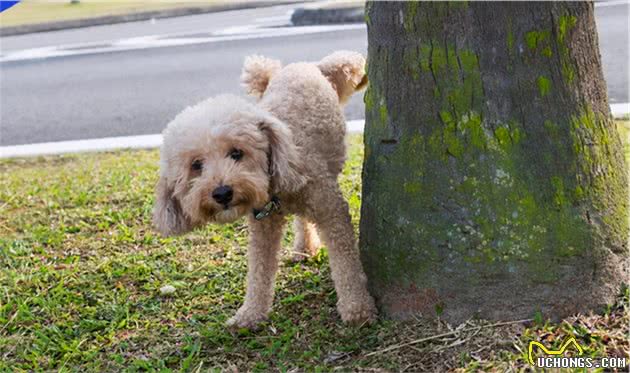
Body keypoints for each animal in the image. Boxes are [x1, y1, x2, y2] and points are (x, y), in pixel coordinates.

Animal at [155, 50, 378, 326]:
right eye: (196, 165)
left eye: (236, 153)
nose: (222, 193)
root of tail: (305, 65)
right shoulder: (263, 225)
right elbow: (259, 270)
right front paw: (250, 314)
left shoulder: (331, 209)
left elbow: (346, 262)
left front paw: (357, 308)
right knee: (303, 221)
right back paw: (304, 248)